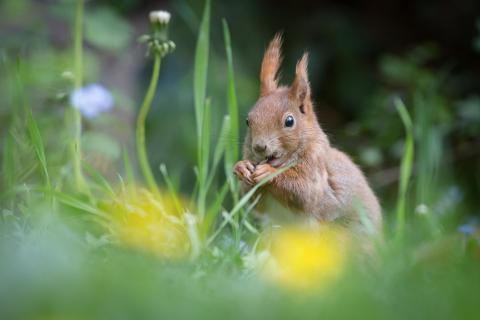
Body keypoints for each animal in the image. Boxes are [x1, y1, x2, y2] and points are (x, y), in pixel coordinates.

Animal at [233, 33, 382, 231]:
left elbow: (305, 192)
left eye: (289, 121)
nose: (259, 146)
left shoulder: (316, 167)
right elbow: (255, 203)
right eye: (248, 121)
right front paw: (242, 168)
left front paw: (269, 173)